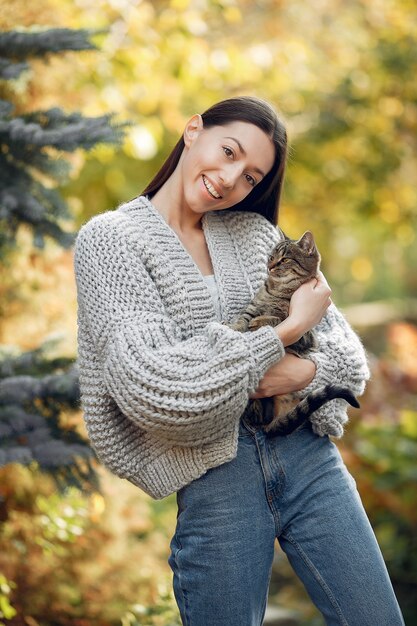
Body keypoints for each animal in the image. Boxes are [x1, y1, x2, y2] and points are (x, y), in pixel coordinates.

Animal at [224, 228, 358, 434]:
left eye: (285, 259)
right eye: (271, 256)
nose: (270, 266)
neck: (278, 290)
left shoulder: (305, 335)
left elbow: (279, 319)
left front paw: (262, 321)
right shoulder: (252, 308)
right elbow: (241, 321)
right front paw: (231, 327)